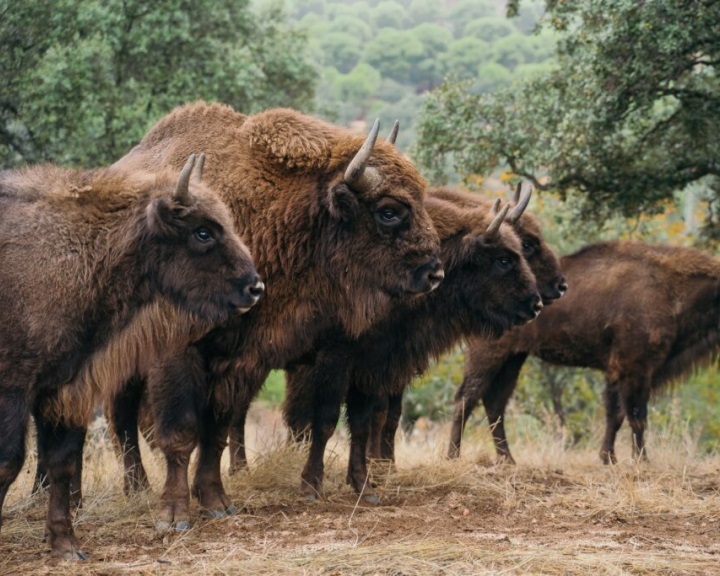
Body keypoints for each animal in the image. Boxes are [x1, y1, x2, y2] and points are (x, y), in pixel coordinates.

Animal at [0, 155, 258, 560]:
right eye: (202, 232)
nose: (255, 287)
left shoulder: (63, 389)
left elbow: (60, 463)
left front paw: (66, 545)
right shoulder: (13, 389)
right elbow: (9, 463)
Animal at [104, 102, 442, 532]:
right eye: (389, 211)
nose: (435, 272)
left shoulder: (243, 360)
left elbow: (217, 429)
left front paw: (216, 501)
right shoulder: (178, 354)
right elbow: (180, 431)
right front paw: (175, 516)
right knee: (122, 421)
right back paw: (137, 490)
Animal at [278, 184, 548, 500]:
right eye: (503, 259)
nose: (535, 305)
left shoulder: (378, 363)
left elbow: (368, 421)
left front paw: (368, 481)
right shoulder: (336, 359)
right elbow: (325, 419)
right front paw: (311, 484)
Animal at [448, 241, 716, 466]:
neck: (670, 286)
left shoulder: (618, 371)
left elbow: (615, 414)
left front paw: (609, 458)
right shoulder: (635, 368)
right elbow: (637, 416)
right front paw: (642, 460)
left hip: (513, 359)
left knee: (494, 404)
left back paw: (508, 459)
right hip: (488, 355)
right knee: (466, 399)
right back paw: (454, 455)